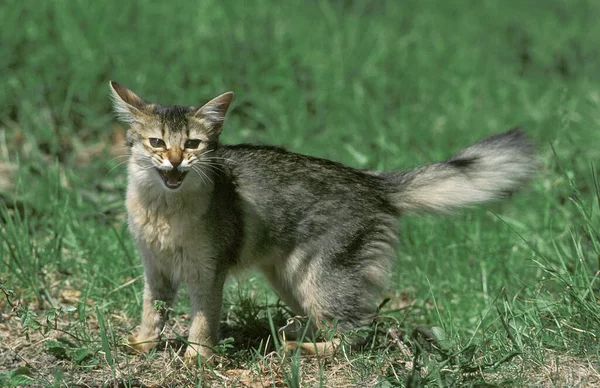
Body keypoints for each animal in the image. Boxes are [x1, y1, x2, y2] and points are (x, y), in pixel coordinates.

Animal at [110, 80, 536, 362]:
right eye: (157, 143)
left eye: (193, 144)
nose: (175, 161)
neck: (163, 211)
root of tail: (371, 180)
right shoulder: (155, 269)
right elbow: (152, 311)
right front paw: (143, 343)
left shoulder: (207, 272)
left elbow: (202, 322)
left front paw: (198, 359)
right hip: (290, 280)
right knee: (333, 321)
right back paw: (289, 334)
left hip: (322, 279)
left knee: (360, 330)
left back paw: (305, 348)